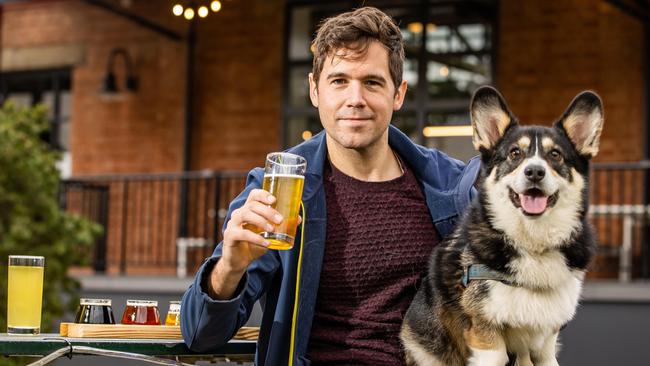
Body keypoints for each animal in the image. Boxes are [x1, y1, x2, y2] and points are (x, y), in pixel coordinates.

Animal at [400, 86, 604, 366]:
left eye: (555, 155)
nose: (534, 172)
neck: (532, 243)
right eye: (515, 153)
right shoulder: (486, 336)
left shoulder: (545, 343)